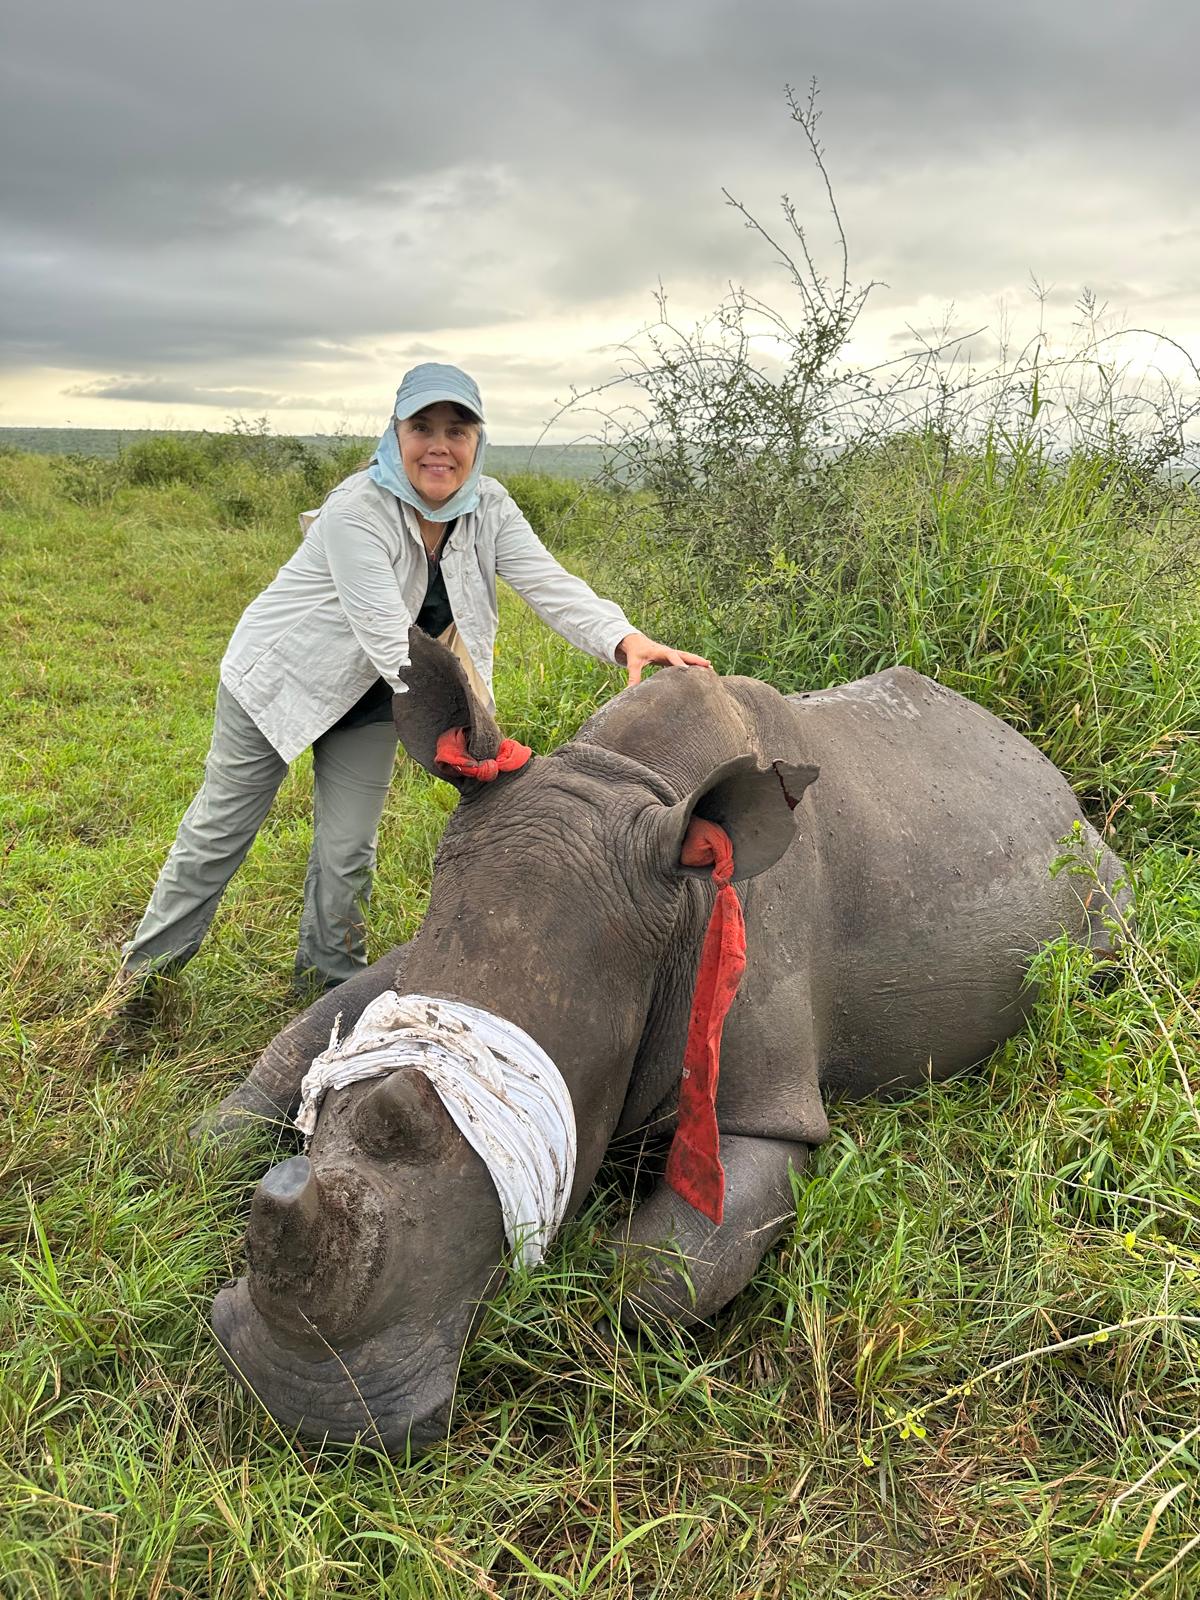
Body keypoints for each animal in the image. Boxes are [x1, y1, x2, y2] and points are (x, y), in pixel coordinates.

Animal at [204, 632, 1128, 1455]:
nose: (290, 1402)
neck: (629, 788)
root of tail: (1037, 758)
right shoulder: (420, 956)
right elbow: (313, 1026)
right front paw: (209, 1143)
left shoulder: (762, 1103)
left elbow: (656, 1274)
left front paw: (566, 1329)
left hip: (1089, 871)